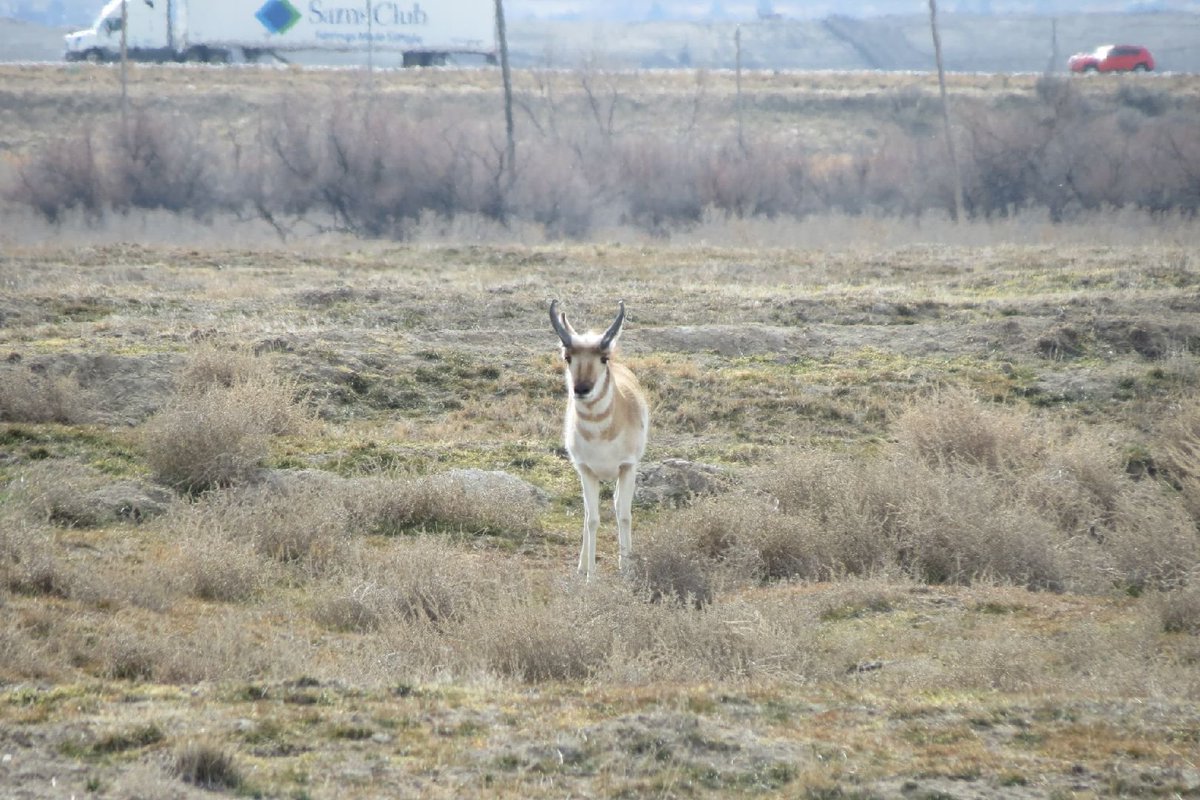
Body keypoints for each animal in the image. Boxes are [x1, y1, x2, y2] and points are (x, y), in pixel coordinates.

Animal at [550, 300, 649, 579]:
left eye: (603, 358)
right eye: (568, 357)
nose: (581, 389)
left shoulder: (627, 467)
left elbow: (624, 515)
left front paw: (627, 570)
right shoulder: (586, 471)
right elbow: (592, 519)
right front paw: (590, 576)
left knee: (617, 506)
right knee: (587, 514)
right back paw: (582, 566)